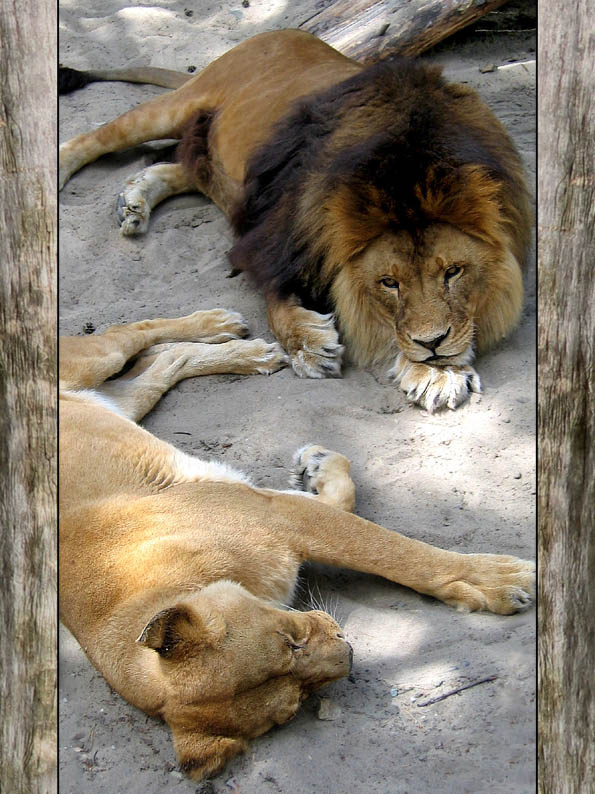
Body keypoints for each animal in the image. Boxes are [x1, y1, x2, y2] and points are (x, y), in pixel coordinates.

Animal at [59, 29, 532, 411]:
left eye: (453, 272)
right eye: (389, 283)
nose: (431, 345)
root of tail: (279, 32)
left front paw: (439, 368)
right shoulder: (273, 237)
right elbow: (279, 304)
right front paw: (313, 345)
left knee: (178, 168)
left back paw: (134, 201)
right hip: (175, 108)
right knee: (94, 136)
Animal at [60, 309, 535, 780]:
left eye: (290, 640)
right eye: (295, 703)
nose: (348, 651)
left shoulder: (280, 515)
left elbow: (398, 553)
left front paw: (502, 579)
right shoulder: (281, 512)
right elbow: (350, 508)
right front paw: (318, 467)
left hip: (93, 361)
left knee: (134, 335)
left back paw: (226, 331)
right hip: (119, 401)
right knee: (161, 363)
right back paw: (246, 349)